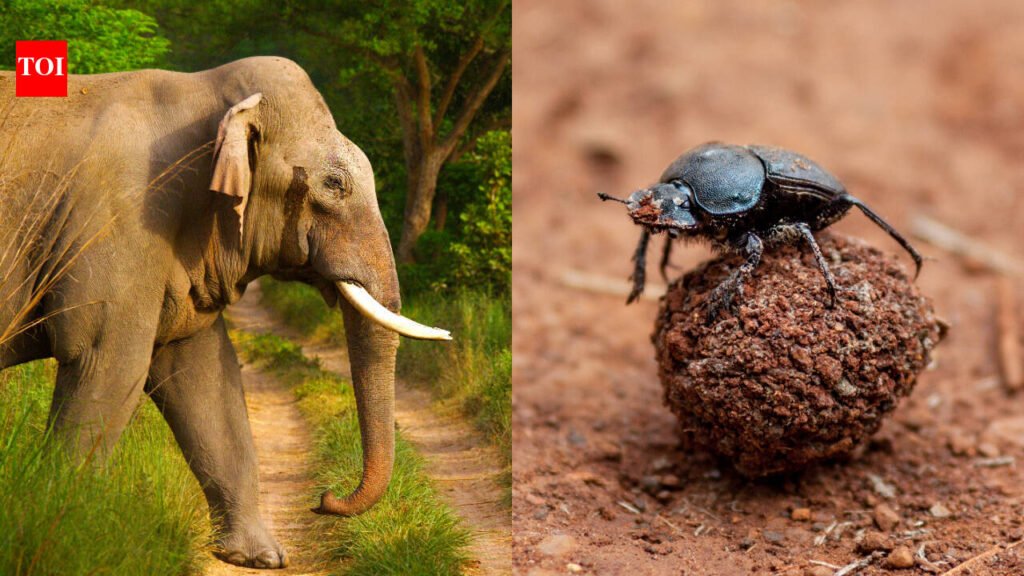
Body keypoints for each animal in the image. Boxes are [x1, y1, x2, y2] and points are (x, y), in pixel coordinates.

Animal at [0, 56, 450, 569]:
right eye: (334, 184)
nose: (323, 499)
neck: (205, 91)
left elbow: (205, 378)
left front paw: (261, 559)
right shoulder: (116, 221)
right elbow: (106, 361)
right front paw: (64, 526)